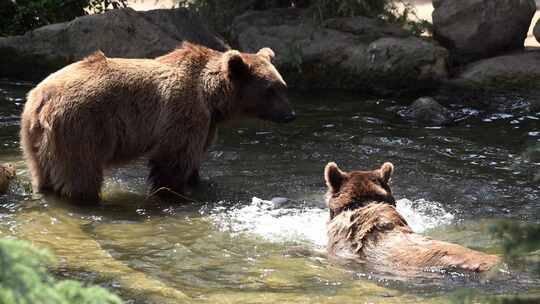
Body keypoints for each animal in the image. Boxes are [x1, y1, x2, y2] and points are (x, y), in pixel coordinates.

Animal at [20, 41, 296, 201]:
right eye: (271, 89)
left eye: (283, 86)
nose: (291, 114)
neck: (211, 97)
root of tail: (40, 99)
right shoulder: (183, 112)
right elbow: (173, 159)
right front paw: (173, 192)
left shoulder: (207, 123)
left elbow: (193, 158)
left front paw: (196, 182)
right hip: (80, 127)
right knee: (80, 172)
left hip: (34, 139)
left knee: (43, 173)